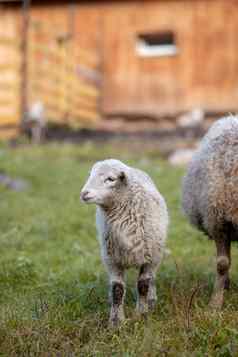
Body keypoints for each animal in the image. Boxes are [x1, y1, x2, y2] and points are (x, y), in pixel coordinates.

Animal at [81, 159, 168, 326]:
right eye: (90, 175)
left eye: (110, 179)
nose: (84, 193)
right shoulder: (112, 260)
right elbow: (117, 289)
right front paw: (116, 321)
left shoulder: (149, 258)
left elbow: (143, 285)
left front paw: (141, 314)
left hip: (156, 254)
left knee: (152, 278)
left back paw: (151, 301)